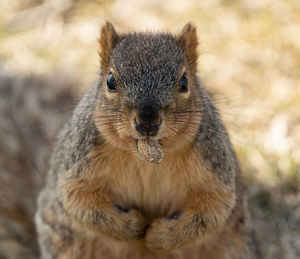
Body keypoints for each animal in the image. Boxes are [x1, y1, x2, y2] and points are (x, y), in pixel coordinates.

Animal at [33, 22, 260, 259]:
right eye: (110, 81)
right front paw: (134, 225)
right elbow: (78, 201)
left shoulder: (214, 165)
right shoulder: (77, 162)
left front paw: (159, 236)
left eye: (184, 82)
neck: (144, 157)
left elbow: (213, 209)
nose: (147, 121)